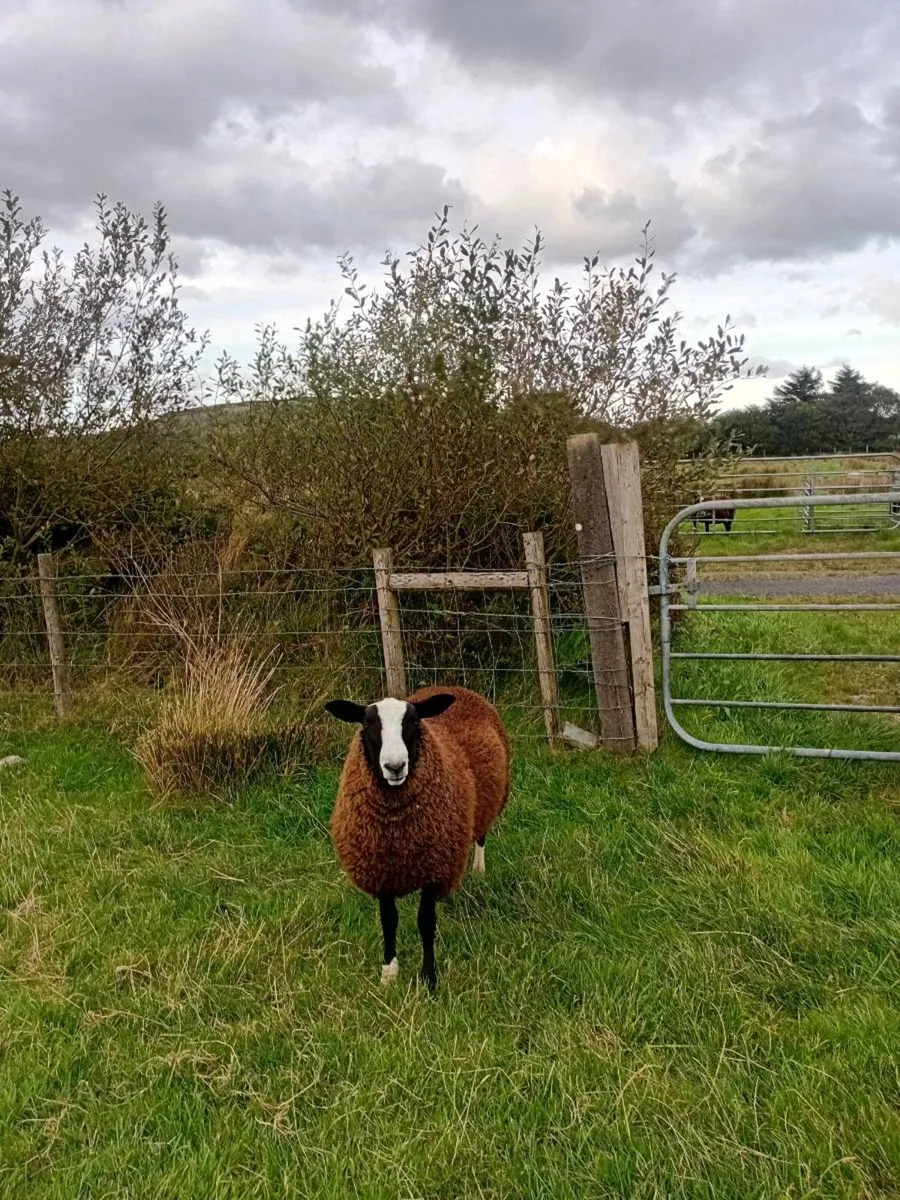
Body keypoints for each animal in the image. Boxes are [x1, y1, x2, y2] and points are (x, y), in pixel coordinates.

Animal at [324, 684, 510, 991]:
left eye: (412, 721)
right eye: (367, 723)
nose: (395, 766)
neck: (398, 830)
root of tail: (453, 688)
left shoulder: (433, 869)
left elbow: (425, 922)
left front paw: (429, 978)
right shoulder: (382, 869)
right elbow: (389, 921)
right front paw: (389, 974)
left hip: (489, 800)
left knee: (481, 836)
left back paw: (478, 869)